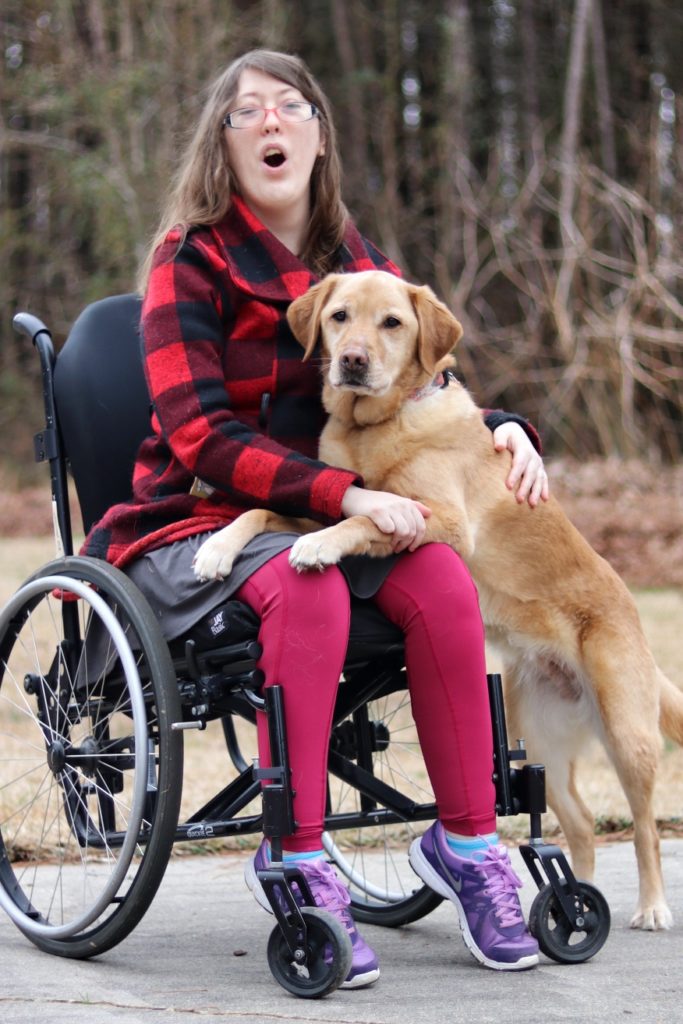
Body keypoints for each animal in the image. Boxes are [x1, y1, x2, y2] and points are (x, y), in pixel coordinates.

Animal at [192, 270, 683, 929]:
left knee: (645, 827)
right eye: (340, 317)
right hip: (538, 740)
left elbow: (366, 520)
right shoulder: (324, 500)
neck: (375, 424)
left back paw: (650, 907)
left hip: (627, 732)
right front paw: (218, 550)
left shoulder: (441, 520)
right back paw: (572, 903)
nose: (352, 361)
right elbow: (262, 511)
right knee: (578, 825)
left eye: (392, 323)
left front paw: (316, 549)